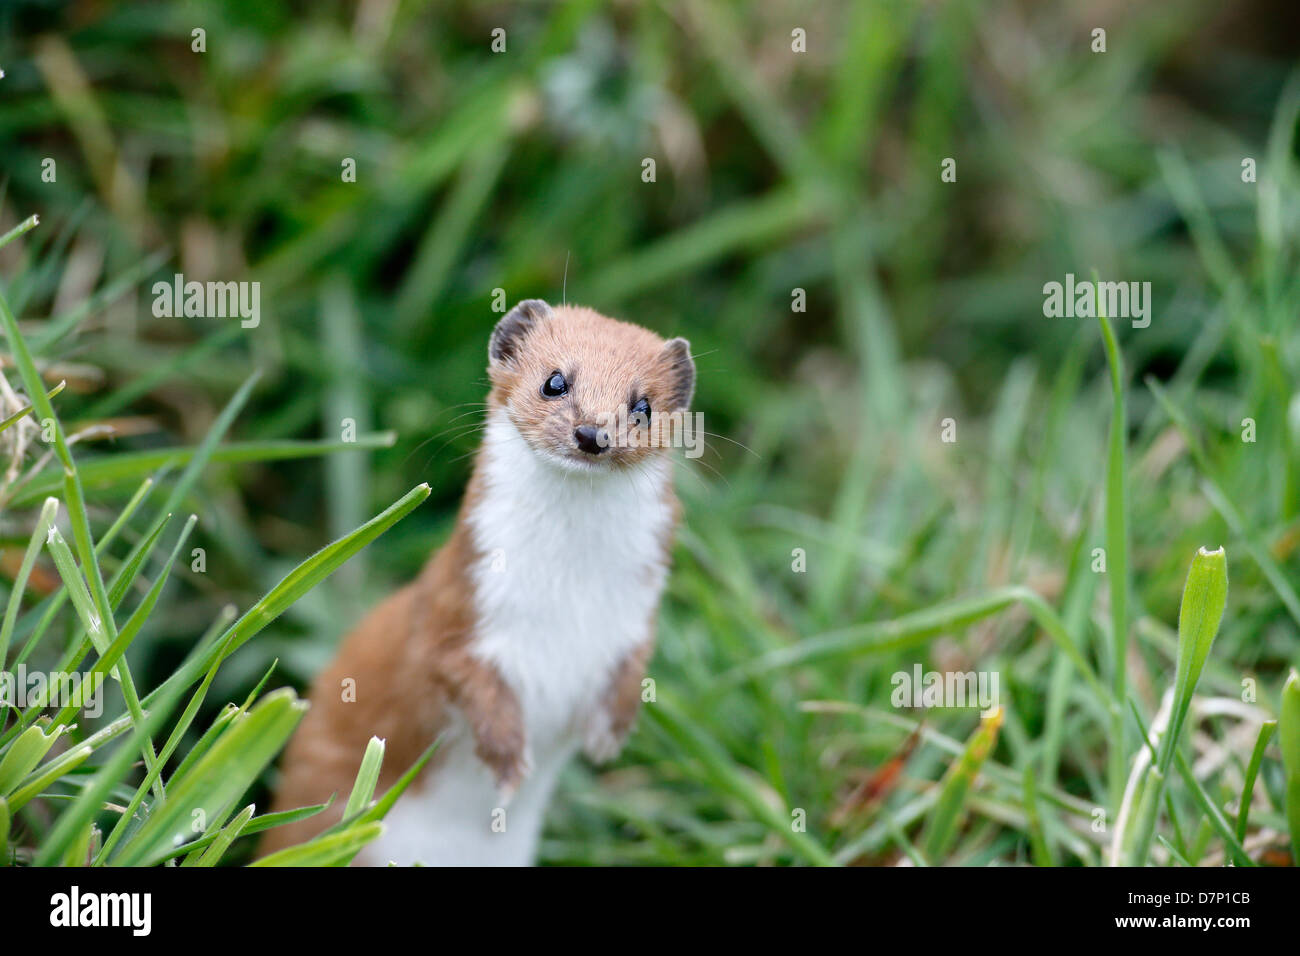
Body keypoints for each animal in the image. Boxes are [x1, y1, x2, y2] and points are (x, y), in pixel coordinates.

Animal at [257, 299, 696, 868]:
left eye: (643, 406)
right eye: (555, 381)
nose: (593, 434)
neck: (567, 594)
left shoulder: (635, 617)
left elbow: (631, 670)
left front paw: (608, 737)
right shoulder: (456, 606)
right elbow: (464, 676)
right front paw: (509, 764)